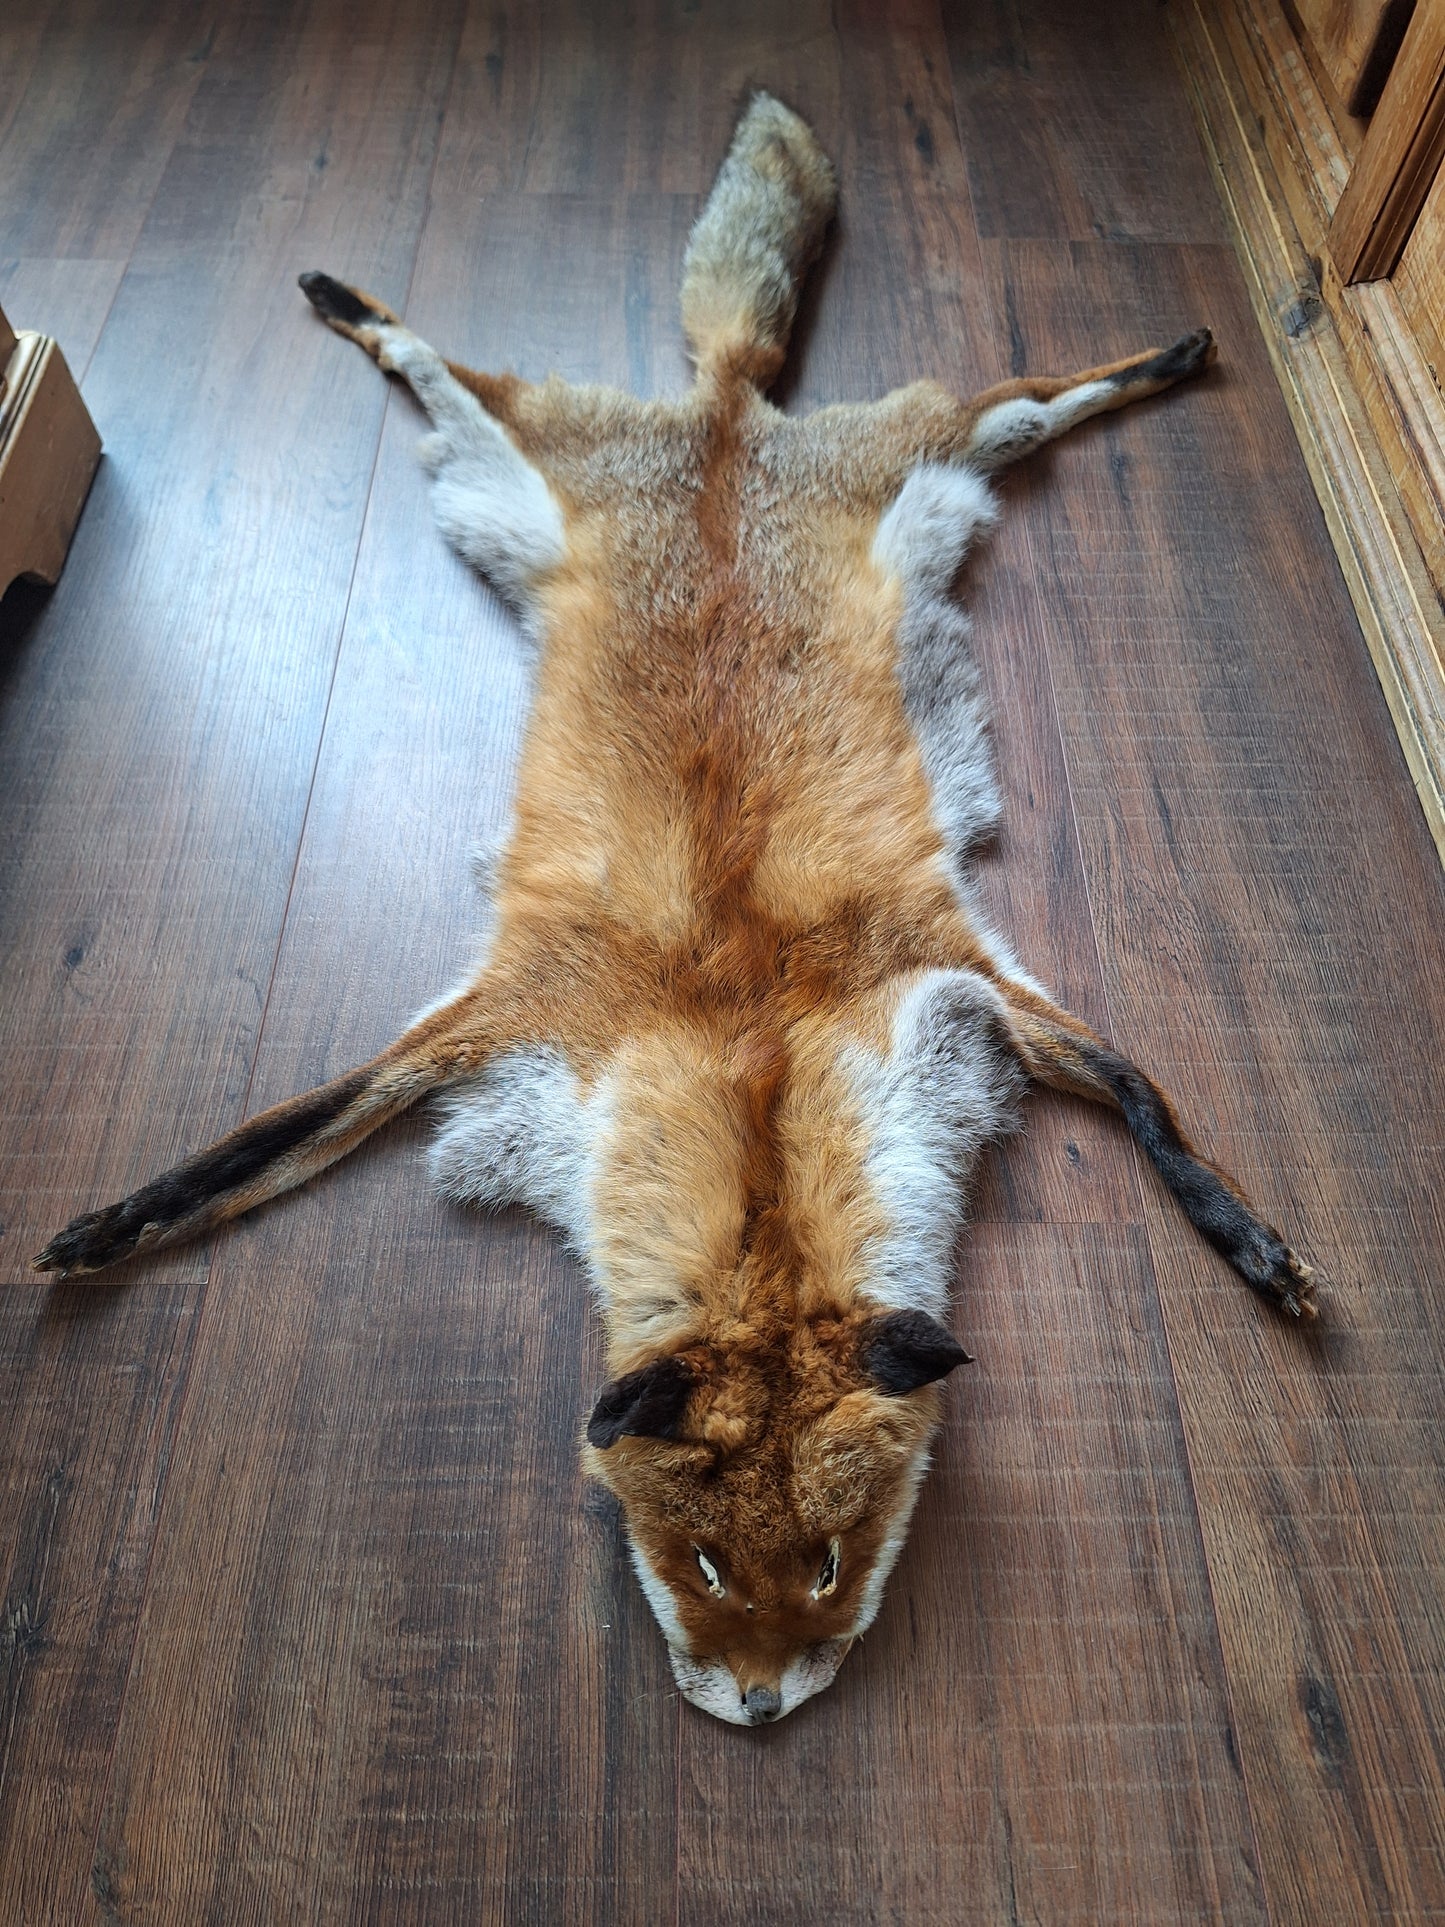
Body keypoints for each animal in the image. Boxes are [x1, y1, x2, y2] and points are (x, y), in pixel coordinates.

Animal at [33, 94, 1315, 1725]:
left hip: (921, 456)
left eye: (827, 1562)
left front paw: (1253, 1245)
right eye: (703, 1561)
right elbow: (254, 1144)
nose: (761, 1711)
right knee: (449, 363)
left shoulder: (955, 970)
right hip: (528, 461)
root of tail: (720, 419)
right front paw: (112, 1226)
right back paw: (352, 302)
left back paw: (1166, 353)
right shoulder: (506, 1013)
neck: (746, 1041)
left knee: (1028, 391)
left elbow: (1154, 1107)